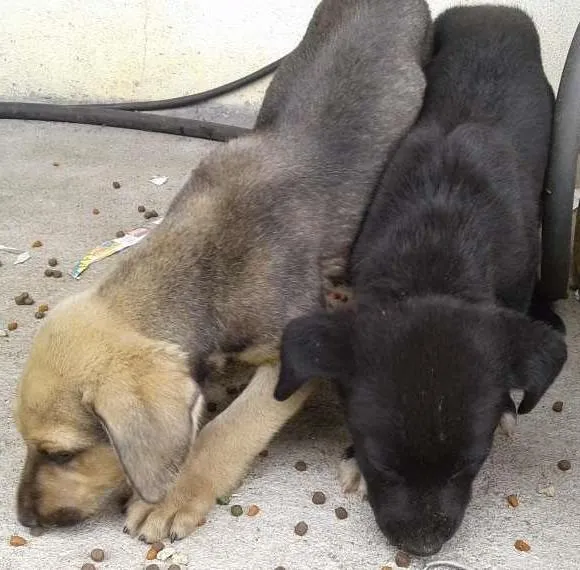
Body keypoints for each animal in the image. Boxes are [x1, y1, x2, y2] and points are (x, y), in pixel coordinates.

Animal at [14, 0, 430, 540]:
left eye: (61, 454)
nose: (24, 519)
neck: (201, 268)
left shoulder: (289, 361)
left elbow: (230, 430)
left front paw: (175, 495)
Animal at [276, 4, 568, 556]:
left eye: (470, 464)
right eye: (381, 464)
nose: (422, 548)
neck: (437, 253)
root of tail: (494, 10)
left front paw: (507, 410)